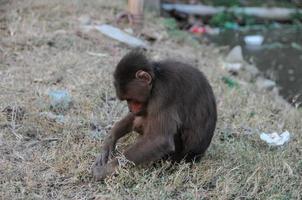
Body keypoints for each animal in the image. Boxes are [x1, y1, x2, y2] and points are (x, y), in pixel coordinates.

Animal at [92, 49, 217, 180]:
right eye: (127, 100)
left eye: (132, 99)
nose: (130, 108)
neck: (157, 78)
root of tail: (196, 157)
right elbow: (137, 116)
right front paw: (110, 140)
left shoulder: (162, 94)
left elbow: (159, 140)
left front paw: (105, 170)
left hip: (178, 157)